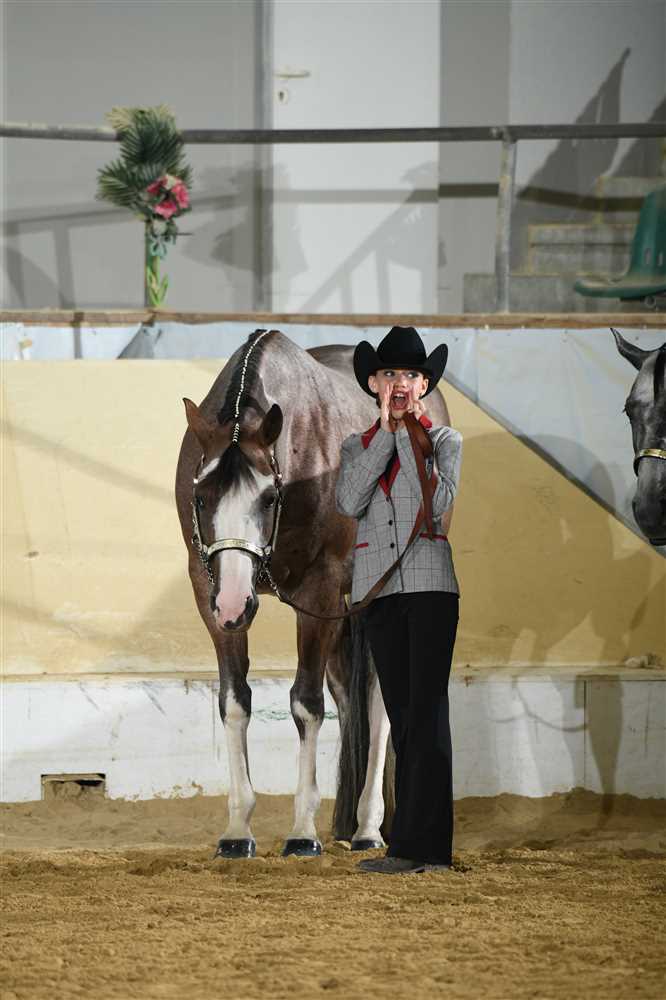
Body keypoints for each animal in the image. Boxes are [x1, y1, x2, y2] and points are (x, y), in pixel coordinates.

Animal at [174, 328, 451, 857]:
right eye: (200, 497)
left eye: (268, 498)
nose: (236, 602)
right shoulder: (206, 593)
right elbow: (234, 701)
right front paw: (238, 829)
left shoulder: (318, 593)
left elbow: (305, 702)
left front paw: (302, 829)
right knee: (347, 690)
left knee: (377, 700)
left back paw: (367, 827)